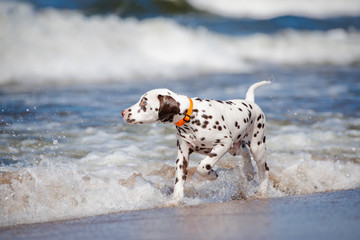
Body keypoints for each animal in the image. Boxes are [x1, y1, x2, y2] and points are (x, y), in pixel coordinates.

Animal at [122, 81, 272, 202]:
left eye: (144, 102)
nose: (123, 112)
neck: (191, 116)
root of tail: (250, 102)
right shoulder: (182, 157)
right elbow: (178, 182)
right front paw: (176, 200)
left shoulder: (223, 144)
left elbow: (203, 166)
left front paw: (211, 175)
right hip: (235, 148)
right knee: (245, 152)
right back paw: (248, 171)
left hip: (257, 147)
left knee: (264, 171)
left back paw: (262, 192)